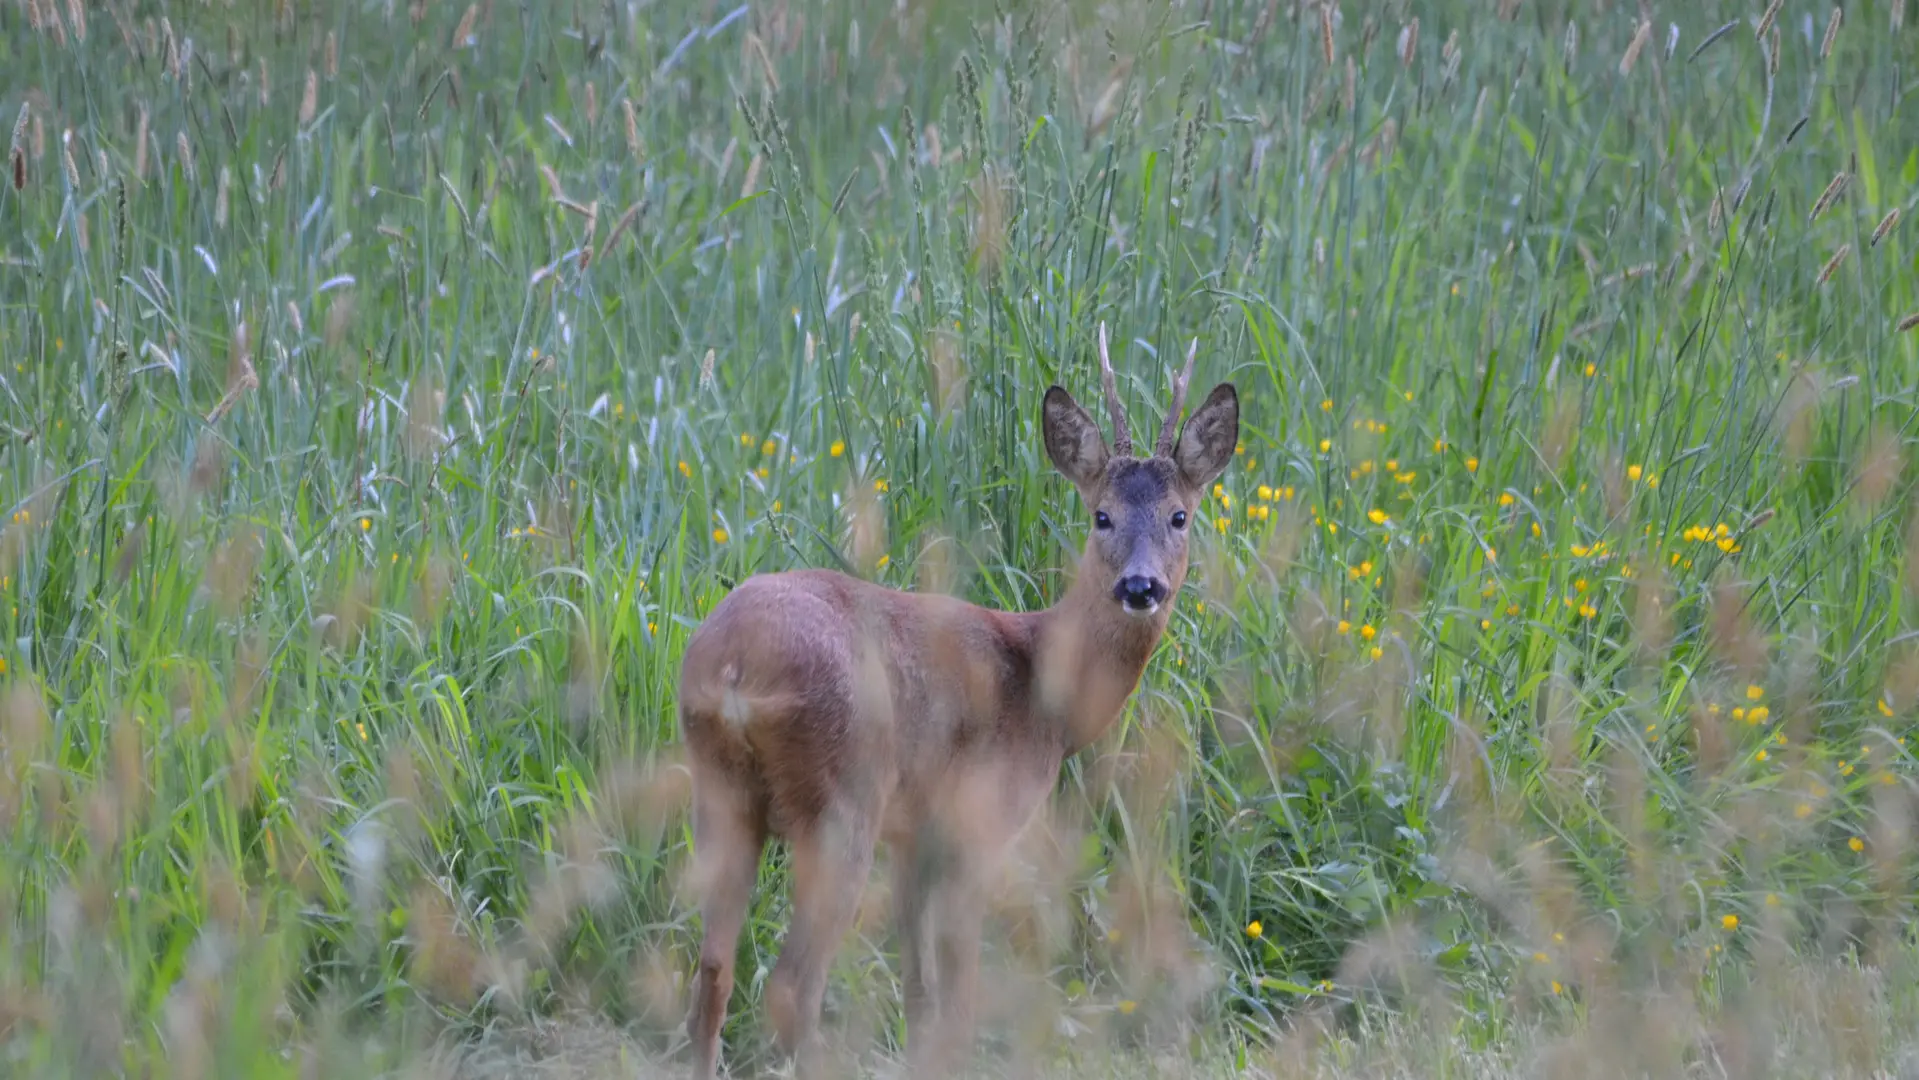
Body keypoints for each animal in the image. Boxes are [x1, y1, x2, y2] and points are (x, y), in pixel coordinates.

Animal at [683, 324, 1235, 1080]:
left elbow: (919, 994)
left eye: (1179, 515)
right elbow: (960, 991)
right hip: (841, 798)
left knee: (711, 971)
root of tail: (734, 666)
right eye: (1102, 515)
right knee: (793, 987)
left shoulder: (915, 836)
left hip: (720, 791)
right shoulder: (979, 819)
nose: (1140, 586)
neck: (1044, 692)